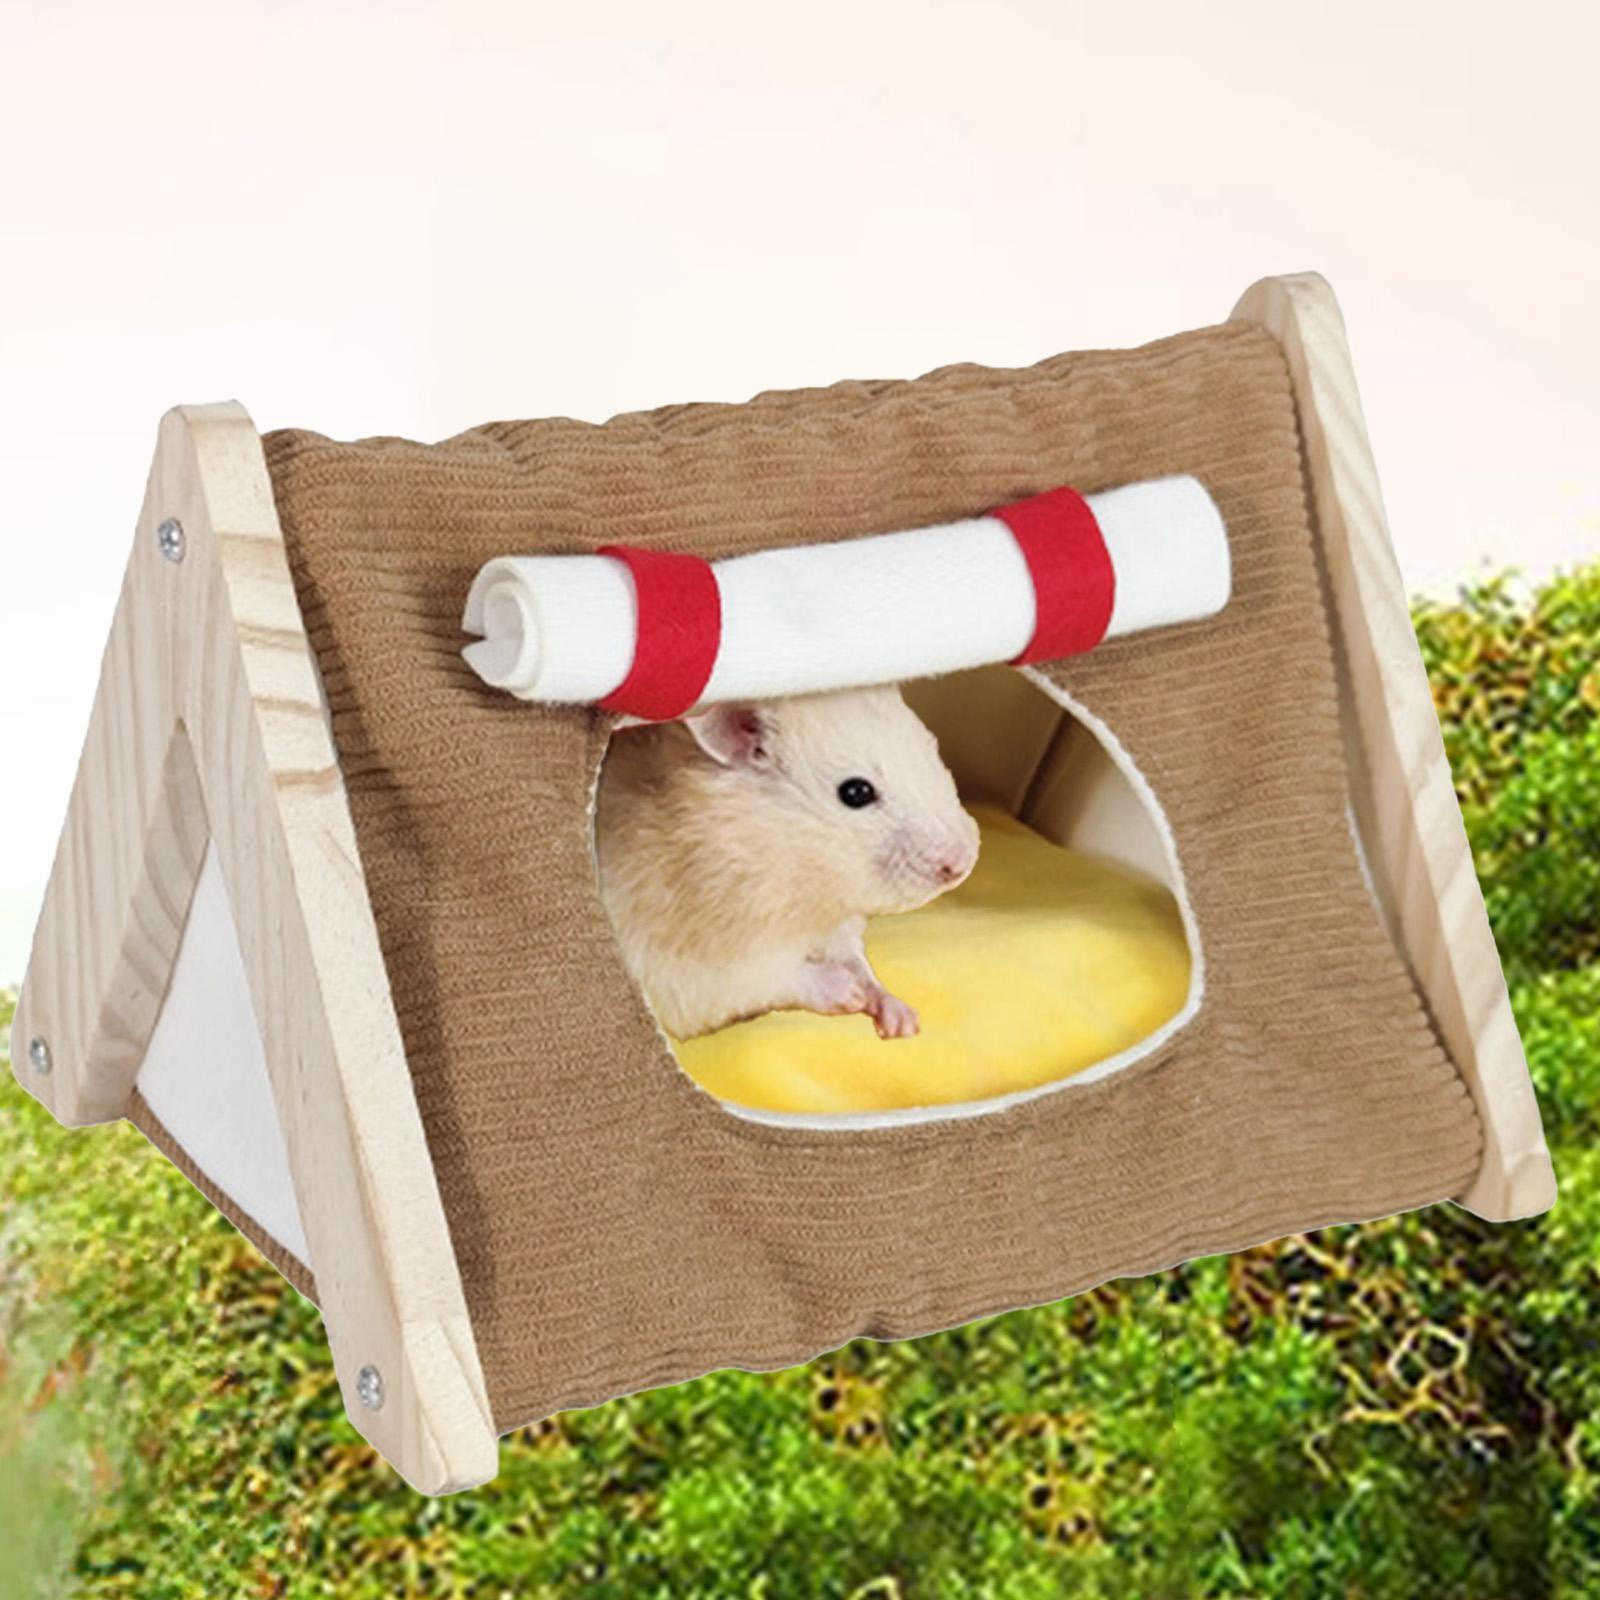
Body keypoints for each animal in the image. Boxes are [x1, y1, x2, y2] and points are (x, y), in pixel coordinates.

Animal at [593, 685, 981, 1041]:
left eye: (931, 749)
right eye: (856, 792)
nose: (963, 864)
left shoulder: (836, 928)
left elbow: (859, 962)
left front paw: (903, 1023)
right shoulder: (699, 970)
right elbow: (780, 977)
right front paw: (850, 994)